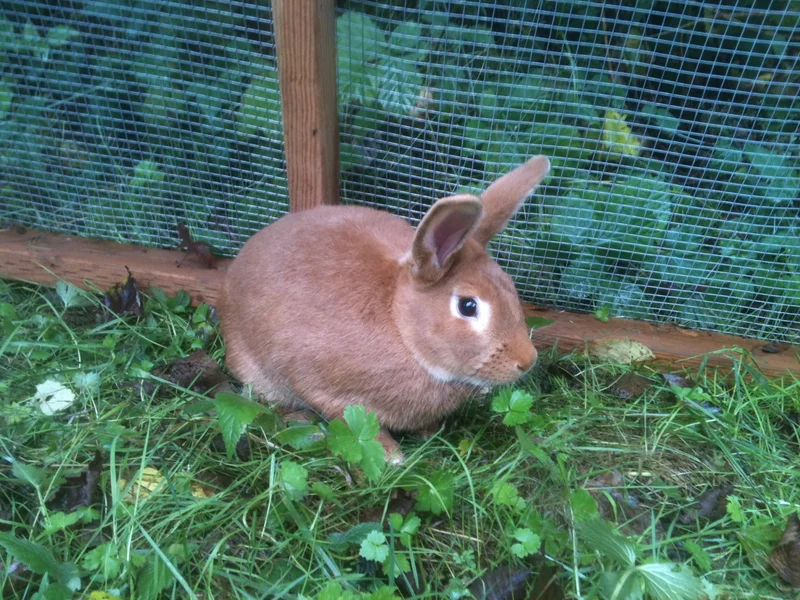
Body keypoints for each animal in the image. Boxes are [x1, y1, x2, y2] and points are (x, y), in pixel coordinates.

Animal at [218, 155, 551, 463]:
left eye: (510, 286)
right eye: (468, 306)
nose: (527, 360)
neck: (400, 323)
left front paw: (429, 433)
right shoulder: (324, 387)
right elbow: (356, 422)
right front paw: (392, 458)